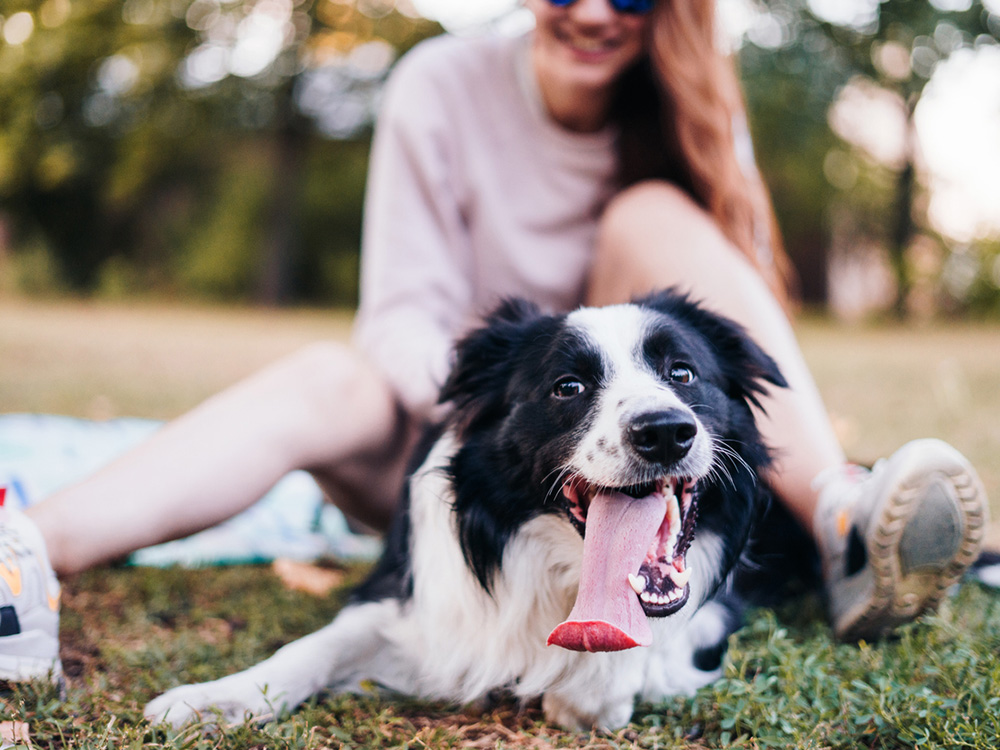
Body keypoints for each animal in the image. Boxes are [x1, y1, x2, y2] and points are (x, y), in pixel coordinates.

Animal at [146, 290, 788, 732]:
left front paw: (586, 687)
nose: (664, 431)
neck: (562, 573)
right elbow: (311, 647)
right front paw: (211, 698)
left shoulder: (715, 612)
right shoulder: (416, 603)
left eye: (683, 372)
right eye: (568, 386)